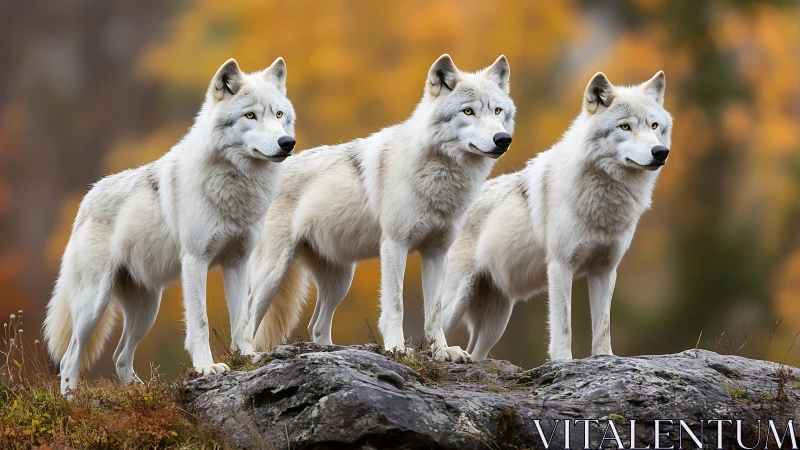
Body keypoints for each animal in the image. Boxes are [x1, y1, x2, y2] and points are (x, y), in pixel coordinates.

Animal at [44, 57, 296, 395]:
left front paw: (248, 356)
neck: (234, 184)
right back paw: (73, 400)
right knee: (70, 358)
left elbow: (242, 319)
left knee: (119, 356)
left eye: (279, 115)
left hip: (146, 310)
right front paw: (206, 368)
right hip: (93, 305)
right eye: (250, 115)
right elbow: (200, 322)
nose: (287, 142)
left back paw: (138, 393)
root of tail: (87, 199)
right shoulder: (195, 261)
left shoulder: (238, 263)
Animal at [247, 54, 515, 361]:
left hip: (340, 280)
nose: (502, 139)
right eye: (468, 111)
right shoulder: (394, 246)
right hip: (273, 273)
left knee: (316, 325)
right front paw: (397, 348)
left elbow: (434, 311)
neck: (439, 177)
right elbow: (395, 306)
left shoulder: (437, 252)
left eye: (497, 111)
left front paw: (442, 351)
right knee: (247, 318)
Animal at [441, 71, 672, 361]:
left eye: (654, 126)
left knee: (476, 354)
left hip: (497, 322)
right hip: (456, 302)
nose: (660, 152)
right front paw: (562, 361)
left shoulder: (605, 270)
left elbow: (603, 326)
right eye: (625, 127)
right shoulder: (561, 267)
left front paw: (605, 358)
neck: (604, 201)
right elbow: (563, 325)